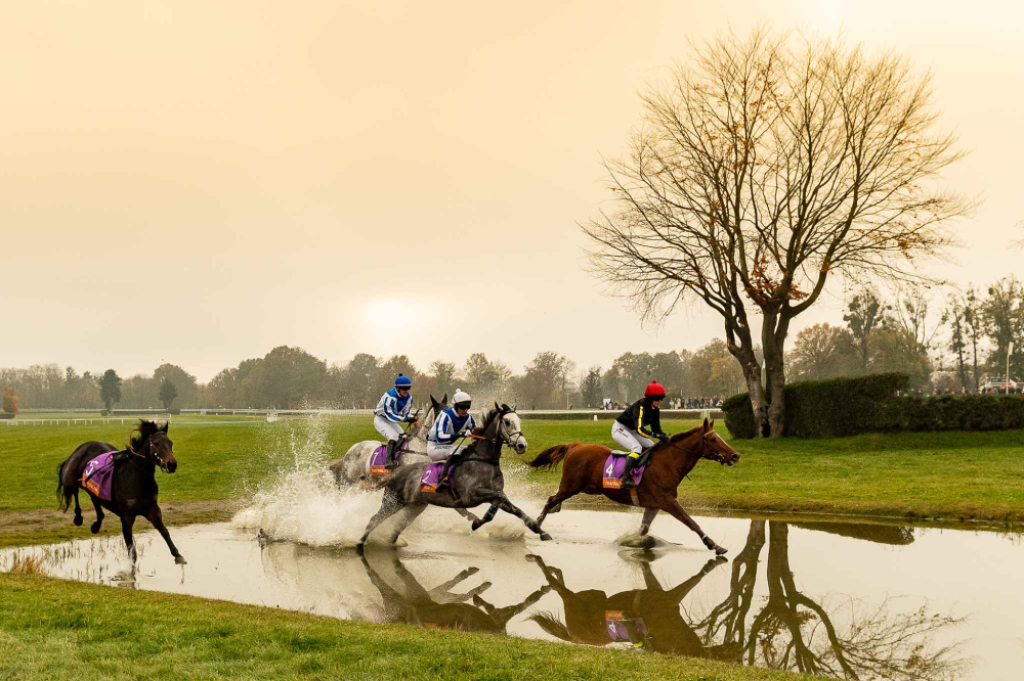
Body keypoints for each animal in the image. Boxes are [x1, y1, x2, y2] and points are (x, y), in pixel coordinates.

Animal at [56, 419, 185, 561]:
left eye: (170, 443)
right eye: (156, 444)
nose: (171, 464)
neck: (135, 477)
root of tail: (80, 448)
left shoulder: (152, 509)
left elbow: (164, 531)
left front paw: (178, 555)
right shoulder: (127, 516)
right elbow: (131, 550)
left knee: (94, 498)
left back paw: (96, 524)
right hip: (71, 479)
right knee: (75, 491)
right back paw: (79, 517)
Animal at [356, 403, 548, 552]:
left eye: (519, 421)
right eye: (507, 422)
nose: (522, 445)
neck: (483, 459)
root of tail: (395, 473)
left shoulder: (495, 494)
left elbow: (516, 509)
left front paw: (541, 531)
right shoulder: (471, 495)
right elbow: (494, 501)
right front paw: (477, 522)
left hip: (415, 506)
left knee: (396, 528)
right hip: (393, 501)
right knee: (374, 520)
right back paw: (358, 543)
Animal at [532, 417, 741, 557]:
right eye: (713, 439)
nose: (735, 455)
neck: (668, 462)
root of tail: (575, 446)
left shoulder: (654, 504)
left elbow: (643, 529)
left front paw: (633, 542)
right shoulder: (667, 501)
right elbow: (691, 522)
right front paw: (714, 545)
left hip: (583, 487)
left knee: (554, 500)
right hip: (571, 486)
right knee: (551, 499)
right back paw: (540, 529)